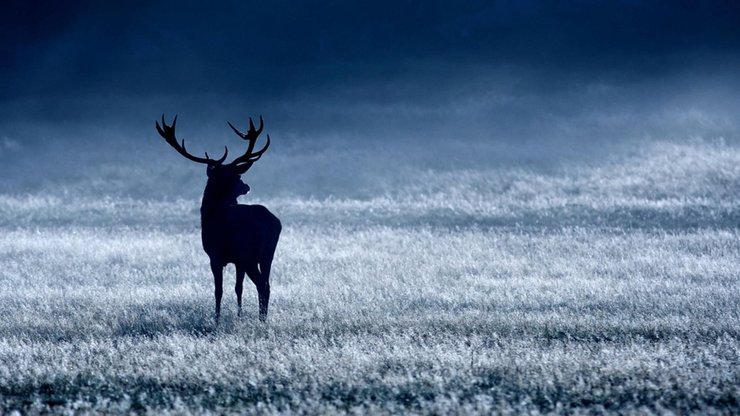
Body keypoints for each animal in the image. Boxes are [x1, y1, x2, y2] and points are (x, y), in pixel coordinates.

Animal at [155, 115, 280, 324]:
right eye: (236, 175)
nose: (246, 186)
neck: (210, 212)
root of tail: (272, 223)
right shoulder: (237, 261)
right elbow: (238, 288)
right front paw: (238, 315)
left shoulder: (215, 255)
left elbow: (218, 290)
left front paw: (217, 319)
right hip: (267, 254)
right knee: (267, 285)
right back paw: (263, 318)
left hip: (248, 254)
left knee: (261, 285)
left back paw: (261, 319)